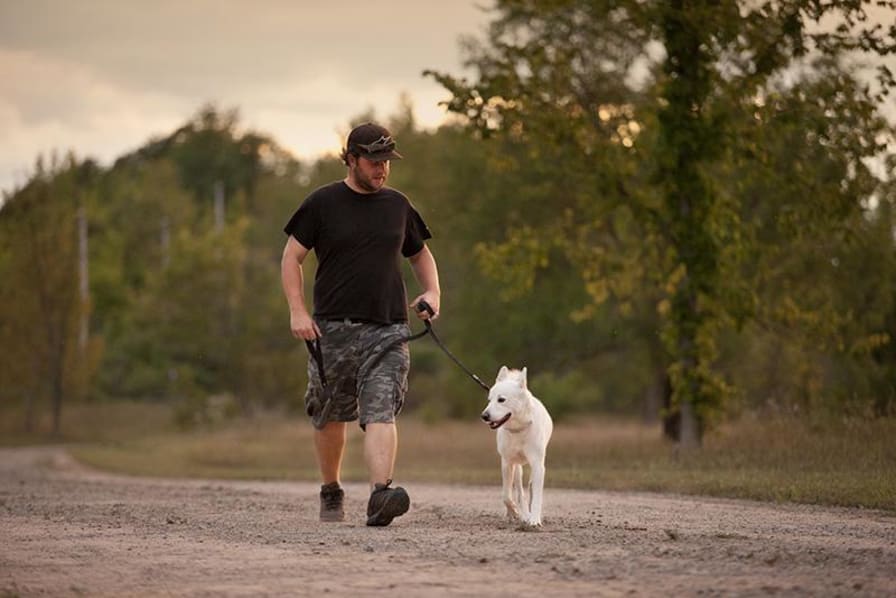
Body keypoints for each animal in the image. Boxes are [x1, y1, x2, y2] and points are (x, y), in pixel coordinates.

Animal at [484, 368, 552, 528]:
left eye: (501, 400)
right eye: (489, 400)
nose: (484, 416)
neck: (518, 429)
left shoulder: (538, 464)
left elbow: (537, 496)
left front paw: (534, 520)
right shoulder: (507, 462)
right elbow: (506, 495)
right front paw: (514, 512)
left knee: (531, 488)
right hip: (517, 468)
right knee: (519, 492)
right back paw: (520, 514)